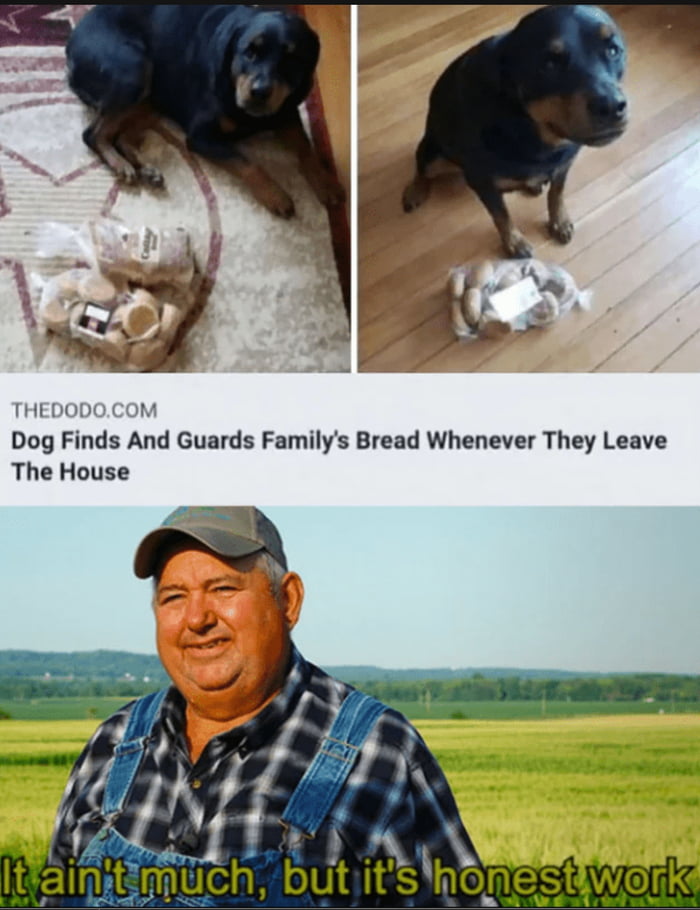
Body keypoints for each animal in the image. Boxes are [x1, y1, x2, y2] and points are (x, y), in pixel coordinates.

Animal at [67, 4, 346, 217]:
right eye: (250, 52)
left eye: (292, 59)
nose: (259, 91)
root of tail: (71, 42)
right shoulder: (201, 136)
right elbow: (247, 163)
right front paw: (276, 195)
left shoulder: (286, 112)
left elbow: (305, 146)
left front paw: (326, 182)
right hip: (134, 68)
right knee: (93, 133)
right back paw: (121, 165)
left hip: (151, 98)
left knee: (121, 134)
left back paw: (143, 167)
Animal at [404, 5, 628, 258]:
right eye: (549, 64)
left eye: (613, 50)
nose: (611, 106)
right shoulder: (482, 182)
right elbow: (501, 215)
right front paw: (514, 242)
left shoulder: (564, 164)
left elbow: (557, 193)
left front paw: (559, 221)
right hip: (435, 153)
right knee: (421, 167)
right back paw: (415, 191)